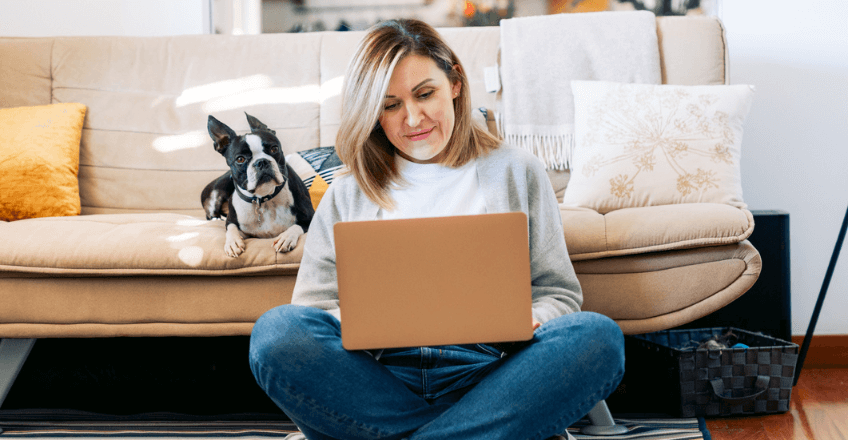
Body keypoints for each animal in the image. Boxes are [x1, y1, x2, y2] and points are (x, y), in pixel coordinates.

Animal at [202, 113, 314, 258]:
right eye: (240, 159)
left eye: (274, 148)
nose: (262, 162)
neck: (263, 198)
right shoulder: (233, 222)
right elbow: (231, 228)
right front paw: (233, 242)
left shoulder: (310, 217)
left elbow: (296, 226)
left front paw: (286, 238)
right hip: (216, 193)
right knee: (211, 213)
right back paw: (216, 219)